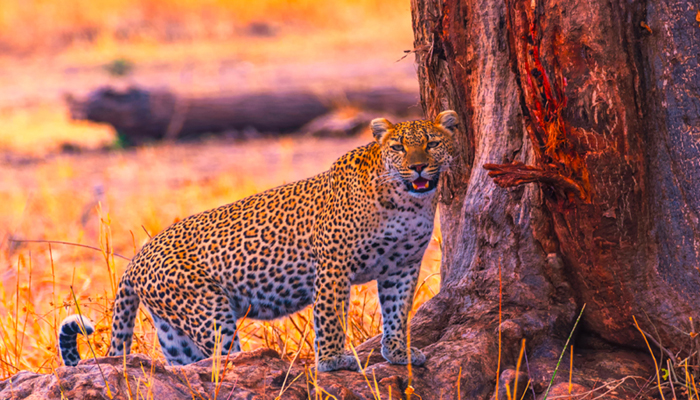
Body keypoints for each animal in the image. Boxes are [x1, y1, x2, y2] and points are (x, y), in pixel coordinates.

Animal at [60, 110, 460, 372]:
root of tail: (137, 258)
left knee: (189, 366)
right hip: (209, 311)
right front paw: (333, 361)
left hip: (175, 331)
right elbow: (331, 315)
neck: (407, 202)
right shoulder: (334, 265)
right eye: (398, 148)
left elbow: (397, 312)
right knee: (224, 357)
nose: (419, 167)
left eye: (432, 144)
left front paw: (399, 353)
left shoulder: (402, 266)